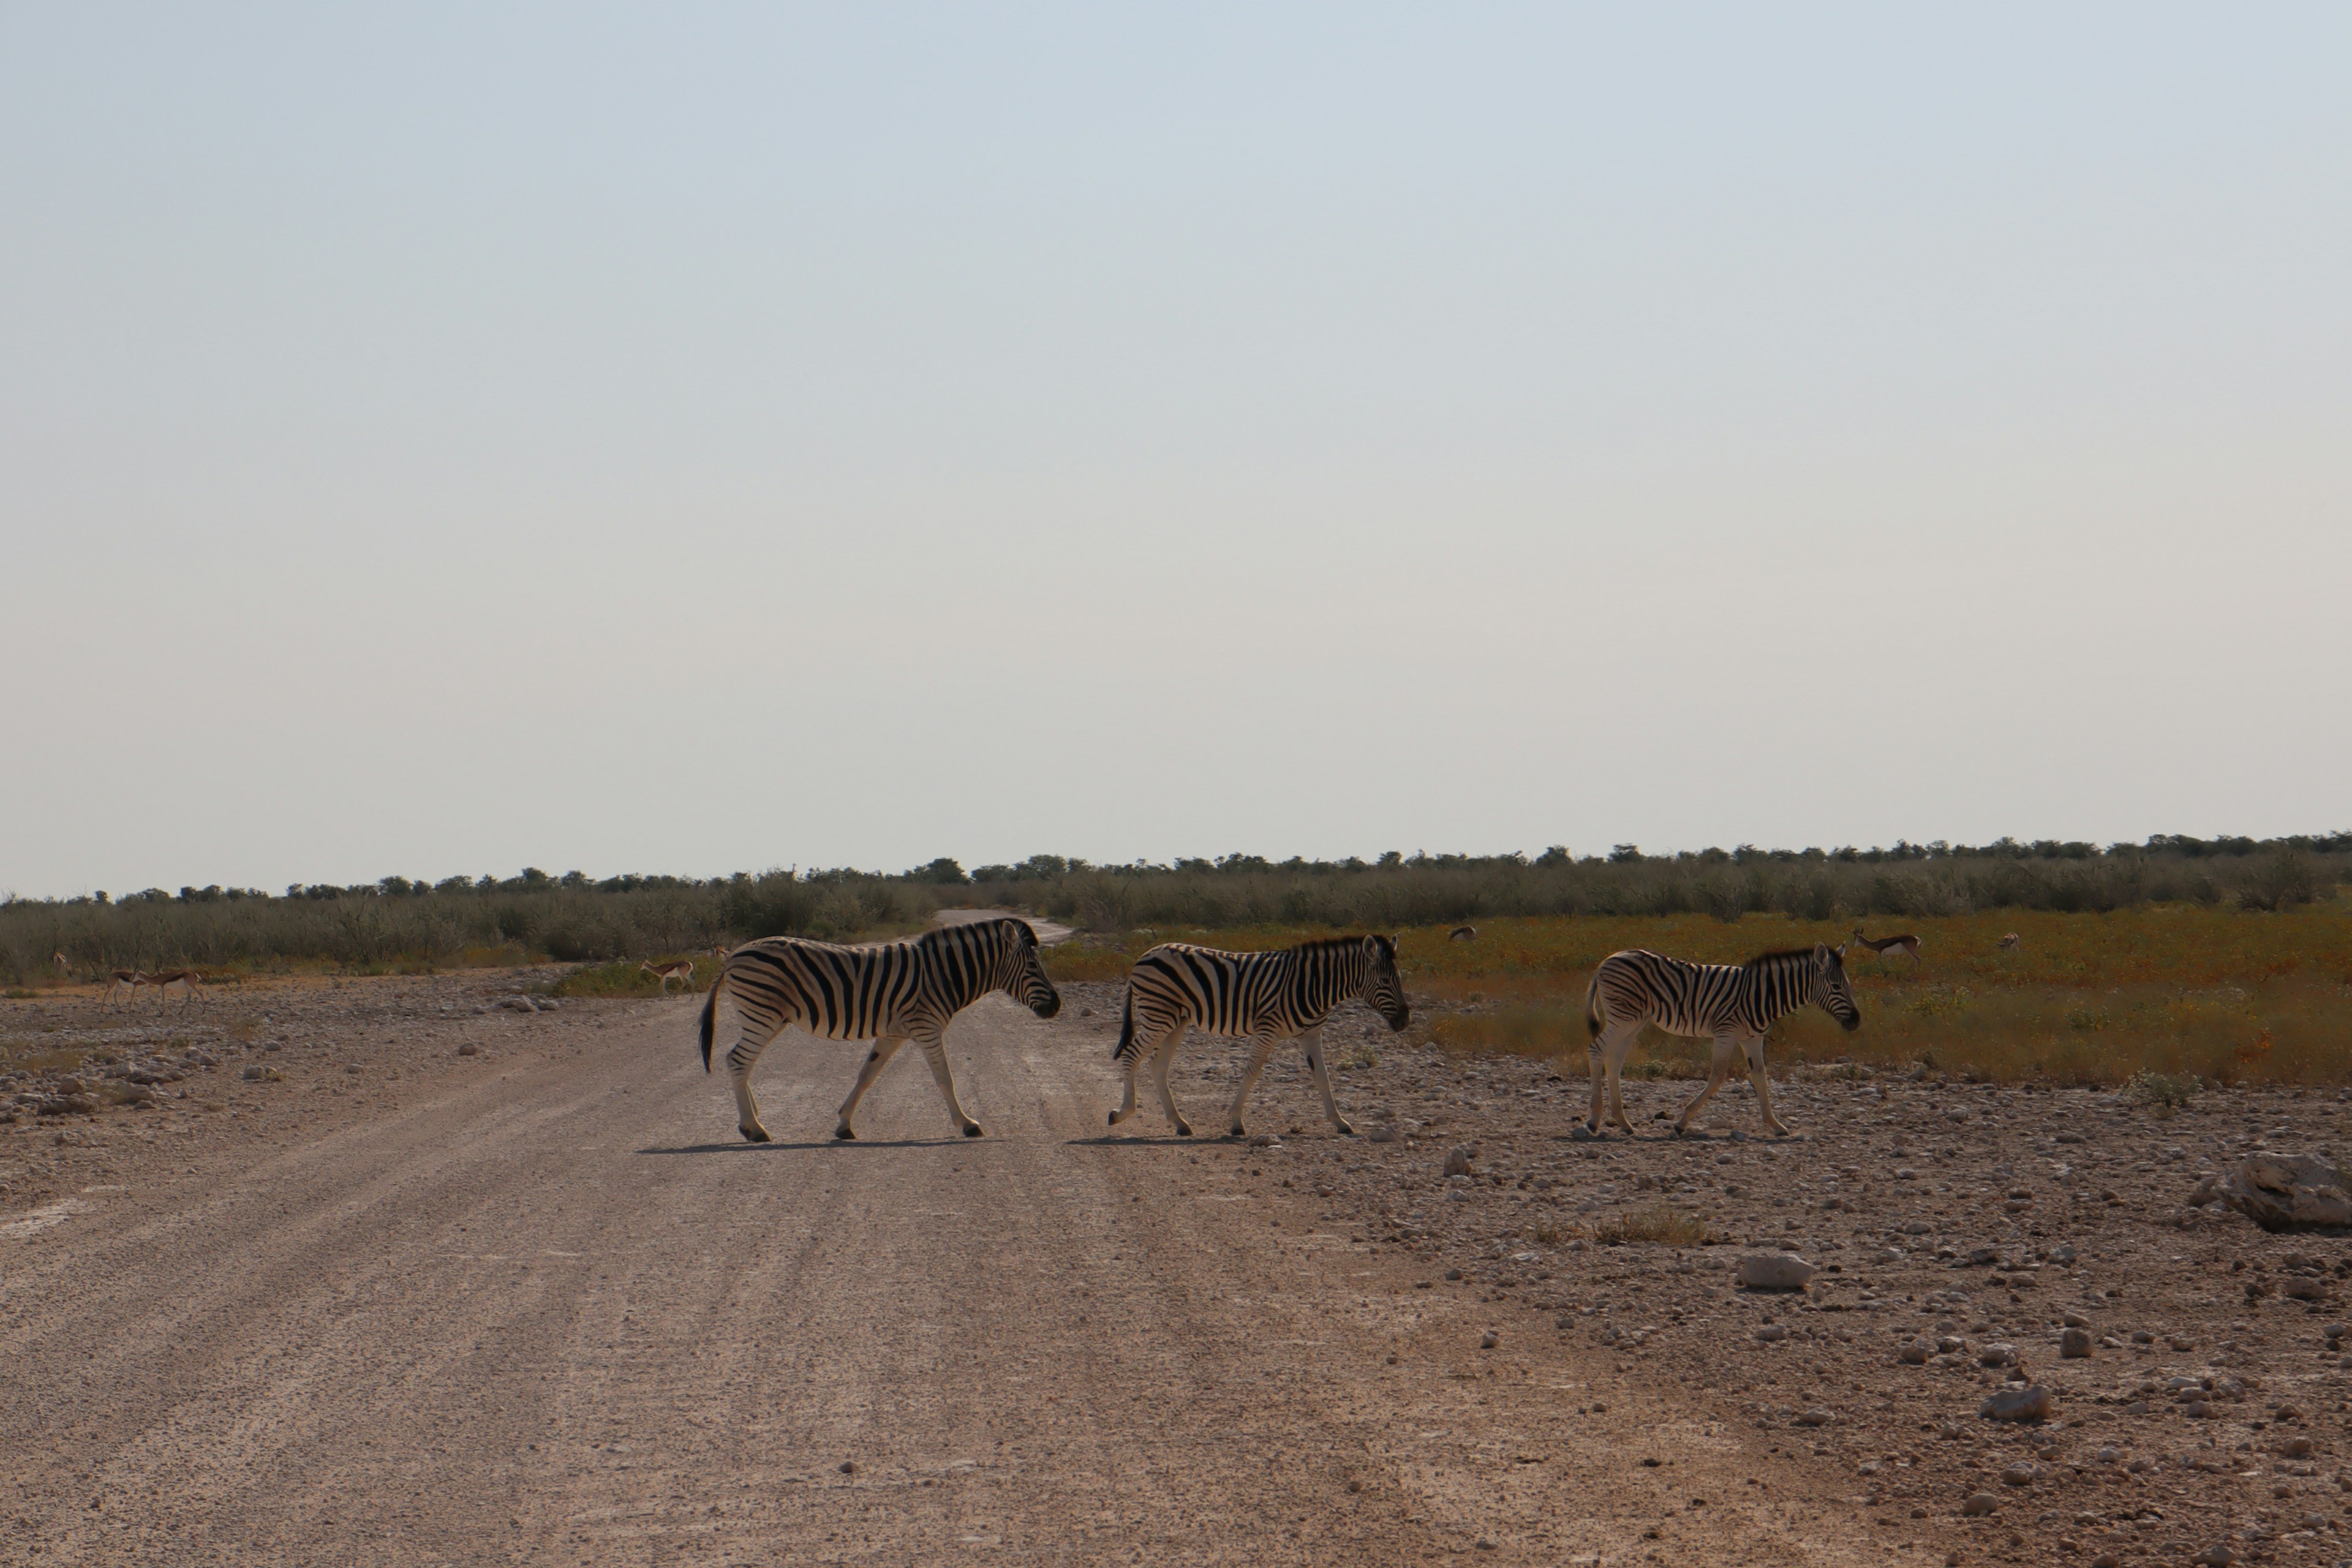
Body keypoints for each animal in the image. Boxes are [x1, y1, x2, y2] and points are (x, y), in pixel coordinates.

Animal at [1105, 930, 1401, 1142]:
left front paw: (1340, 1122)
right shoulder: (1268, 1028)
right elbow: (1252, 1071)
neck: (1313, 985)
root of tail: (1146, 954)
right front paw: (1236, 1123)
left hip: (1176, 1020)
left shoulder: (1311, 1034)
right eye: (1386, 982)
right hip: (1159, 1016)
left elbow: (1322, 1076)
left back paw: (1180, 1123)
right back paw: (1122, 1113)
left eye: (1400, 979)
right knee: (1131, 1055)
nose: (1406, 1021)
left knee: (1158, 1066)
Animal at [1580, 944, 1853, 1142]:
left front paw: (1775, 1125)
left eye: (1848, 986)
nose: (1856, 1021)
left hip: (1634, 1021)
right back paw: (1594, 1120)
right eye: (1836, 986)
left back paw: (1624, 1123)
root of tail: (1609, 959)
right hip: (1624, 1017)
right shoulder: (1727, 1032)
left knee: (1614, 1060)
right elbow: (1718, 1077)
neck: (1763, 995)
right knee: (1596, 1050)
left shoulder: (1752, 1038)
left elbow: (1760, 1077)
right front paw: (1681, 1123)